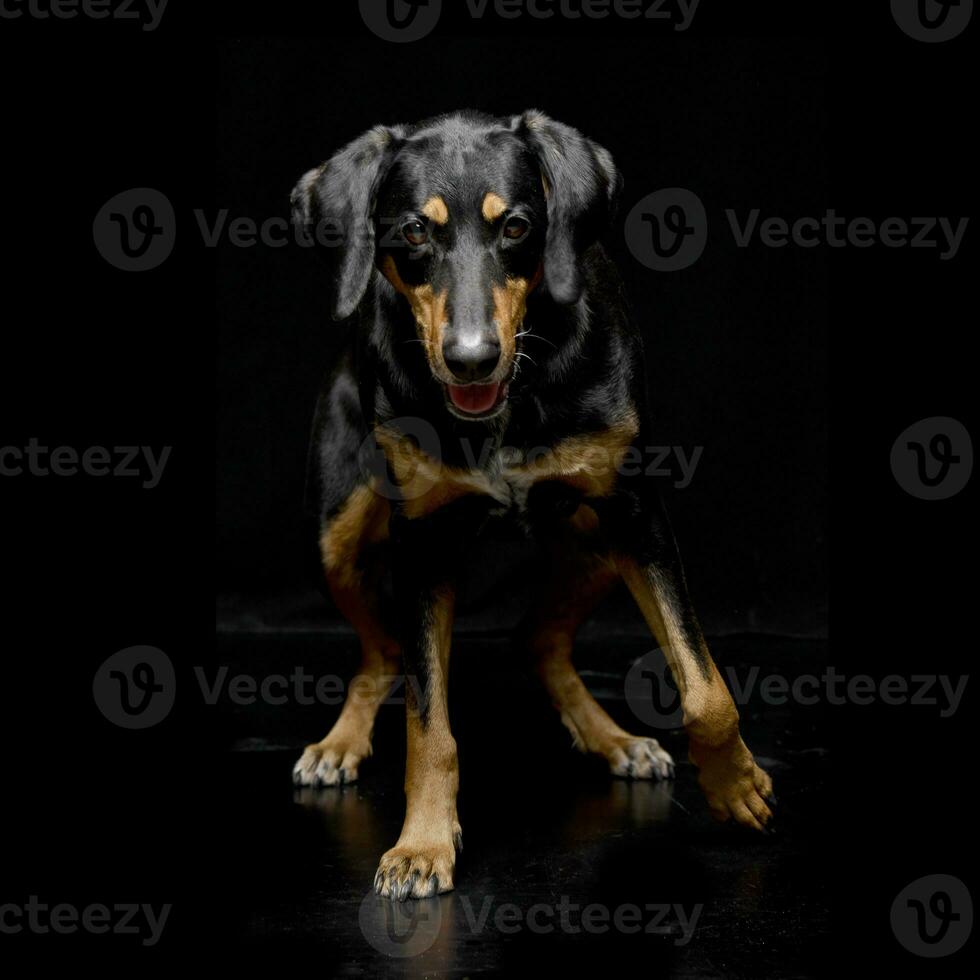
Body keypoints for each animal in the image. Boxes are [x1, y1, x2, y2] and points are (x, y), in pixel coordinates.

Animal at [290, 111, 772, 900]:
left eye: (516, 226)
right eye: (413, 233)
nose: (471, 359)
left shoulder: (638, 514)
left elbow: (704, 687)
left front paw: (734, 786)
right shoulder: (423, 540)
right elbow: (428, 720)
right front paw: (423, 841)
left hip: (596, 544)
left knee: (536, 637)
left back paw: (612, 738)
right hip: (334, 537)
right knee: (387, 650)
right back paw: (341, 743)